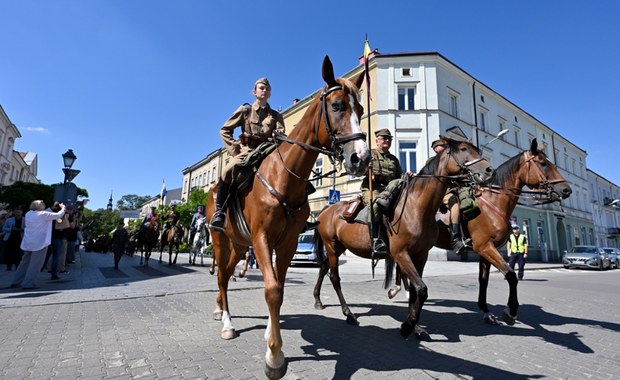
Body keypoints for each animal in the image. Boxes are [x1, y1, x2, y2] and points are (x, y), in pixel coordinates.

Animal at [206, 55, 370, 380]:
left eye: (360, 109)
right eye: (337, 106)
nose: (362, 158)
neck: (284, 176)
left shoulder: (287, 243)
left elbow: (279, 288)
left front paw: (273, 336)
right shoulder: (262, 239)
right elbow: (272, 290)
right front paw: (275, 357)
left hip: (239, 244)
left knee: (226, 274)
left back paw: (221, 309)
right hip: (221, 239)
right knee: (220, 276)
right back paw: (227, 322)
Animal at [312, 137, 492, 336]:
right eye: (463, 149)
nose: (488, 170)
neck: (417, 207)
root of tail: (326, 210)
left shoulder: (421, 255)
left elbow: (414, 290)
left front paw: (416, 327)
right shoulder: (401, 254)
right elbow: (421, 289)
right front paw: (408, 326)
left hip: (339, 247)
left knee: (323, 267)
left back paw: (318, 300)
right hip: (332, 245)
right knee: (334, 277)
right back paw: (348, 313)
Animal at [432, 138, 572, 326]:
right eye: (543, 164)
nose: (566, 189)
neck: (492, 203)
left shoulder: (485, 251)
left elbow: (483, 280)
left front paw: (486, 312)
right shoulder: (485, 247)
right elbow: (511, 275)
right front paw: (510, 312)